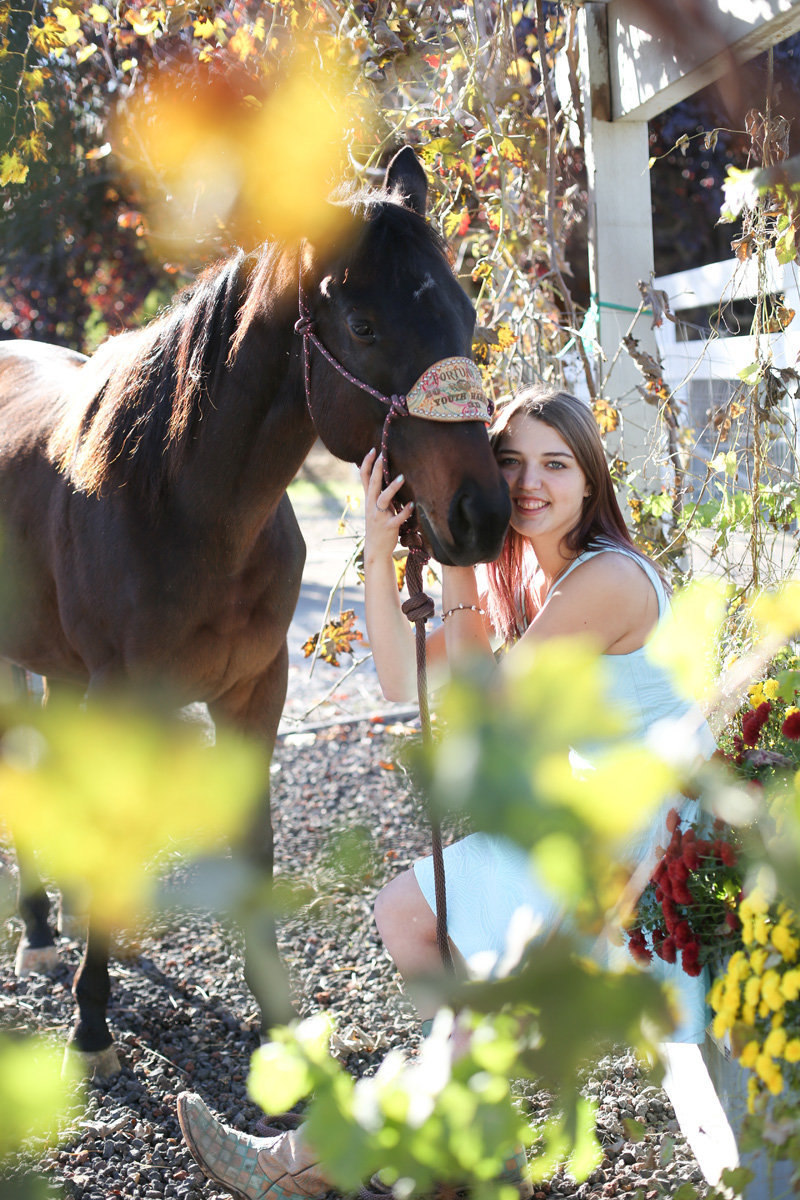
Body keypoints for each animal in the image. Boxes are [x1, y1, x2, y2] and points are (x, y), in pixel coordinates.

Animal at [0, 145, 510, 1075]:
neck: (181, 503)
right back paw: (44, 931)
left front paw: (278, 1030)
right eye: (364, 326)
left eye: (464, 313)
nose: (481, 515)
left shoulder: (253, 694)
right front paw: (91, 1025)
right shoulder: (124, 699)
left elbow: (252, 850)